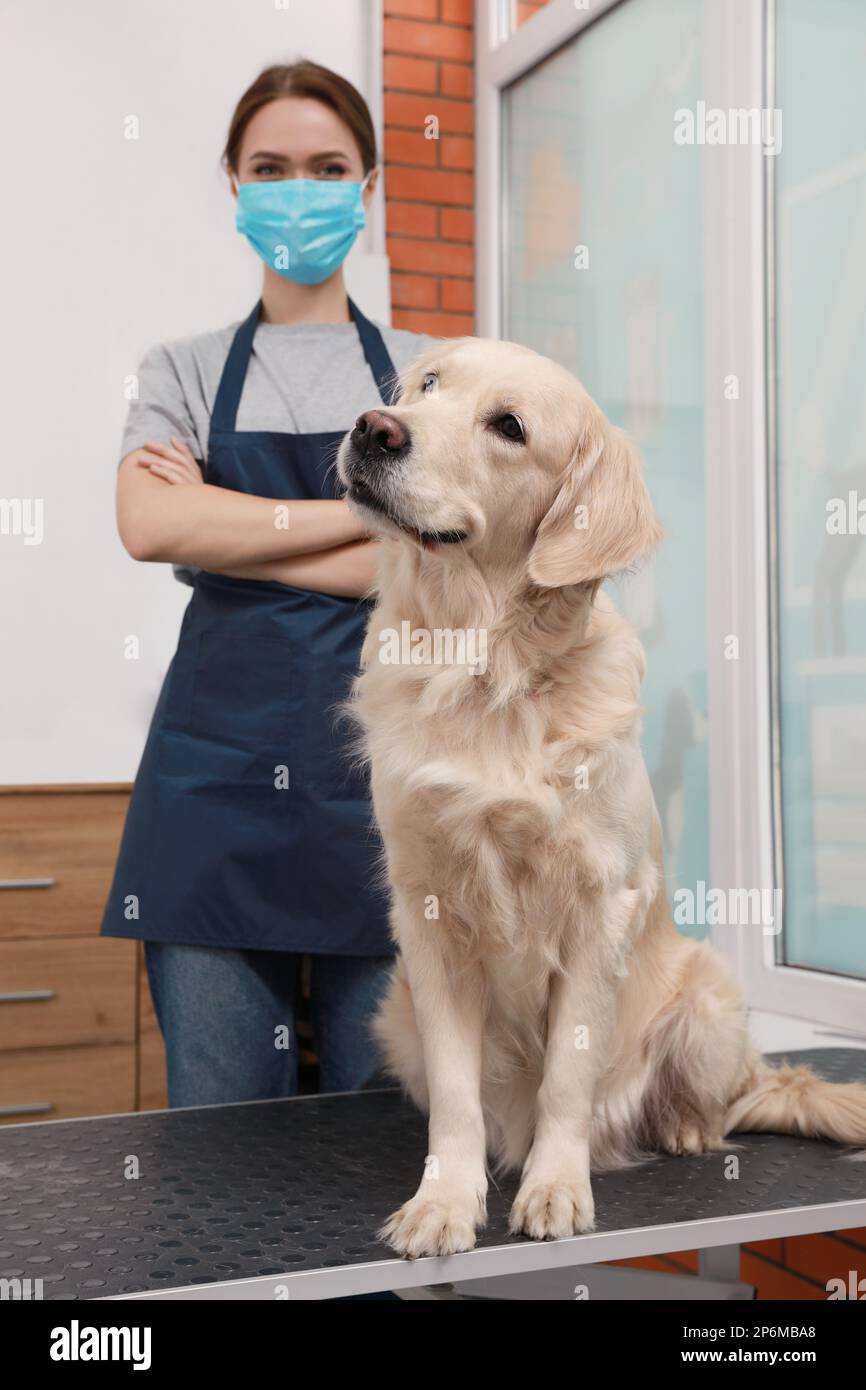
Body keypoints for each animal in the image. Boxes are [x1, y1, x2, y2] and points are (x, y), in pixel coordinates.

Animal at [333, 333, 866, 1262]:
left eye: (509, 426)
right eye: (427, 386)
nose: (374, 429)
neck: (487, 667)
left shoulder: (598, 907)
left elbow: (568, 1079)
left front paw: (555, 1189)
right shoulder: (428, 917)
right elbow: (457, 1096)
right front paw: (444, 1201)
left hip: (709, 993)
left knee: (724, 1100)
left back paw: (683, 1128)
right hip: (393, 1012)